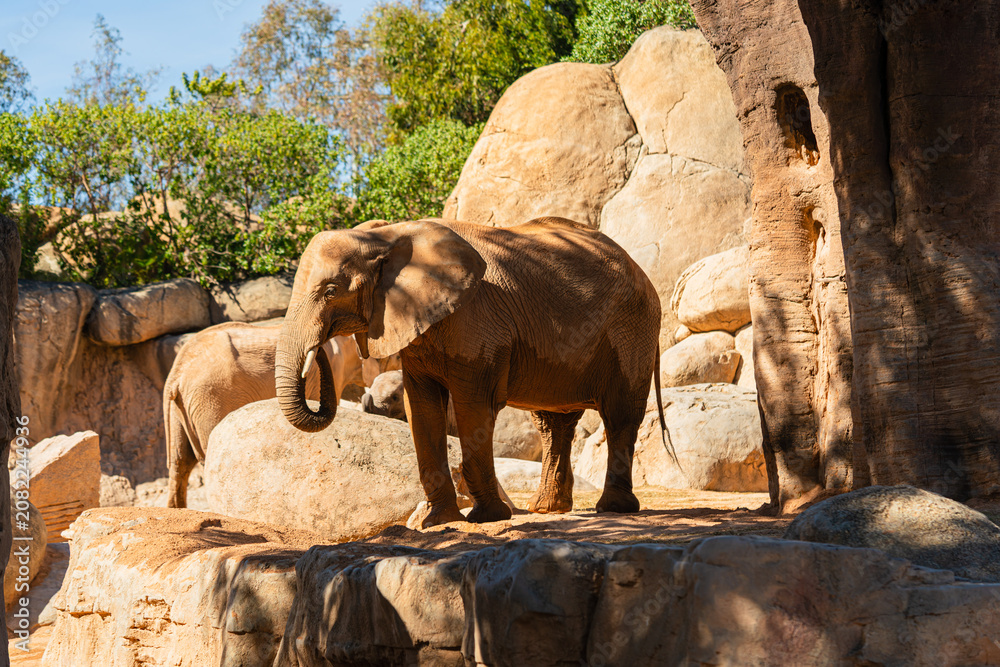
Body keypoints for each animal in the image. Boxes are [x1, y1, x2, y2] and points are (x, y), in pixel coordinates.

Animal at [275, 216, 665, 527]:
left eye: (330, 291)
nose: (319, 348)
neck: (388, 234)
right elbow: (422, 408)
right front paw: (438, 521)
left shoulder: (478, 320)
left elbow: (472, 406)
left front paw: (487, 517)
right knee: (553, 423)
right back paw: (546, 509)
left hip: (632, 328)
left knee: (619, 414)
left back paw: (614, 509)